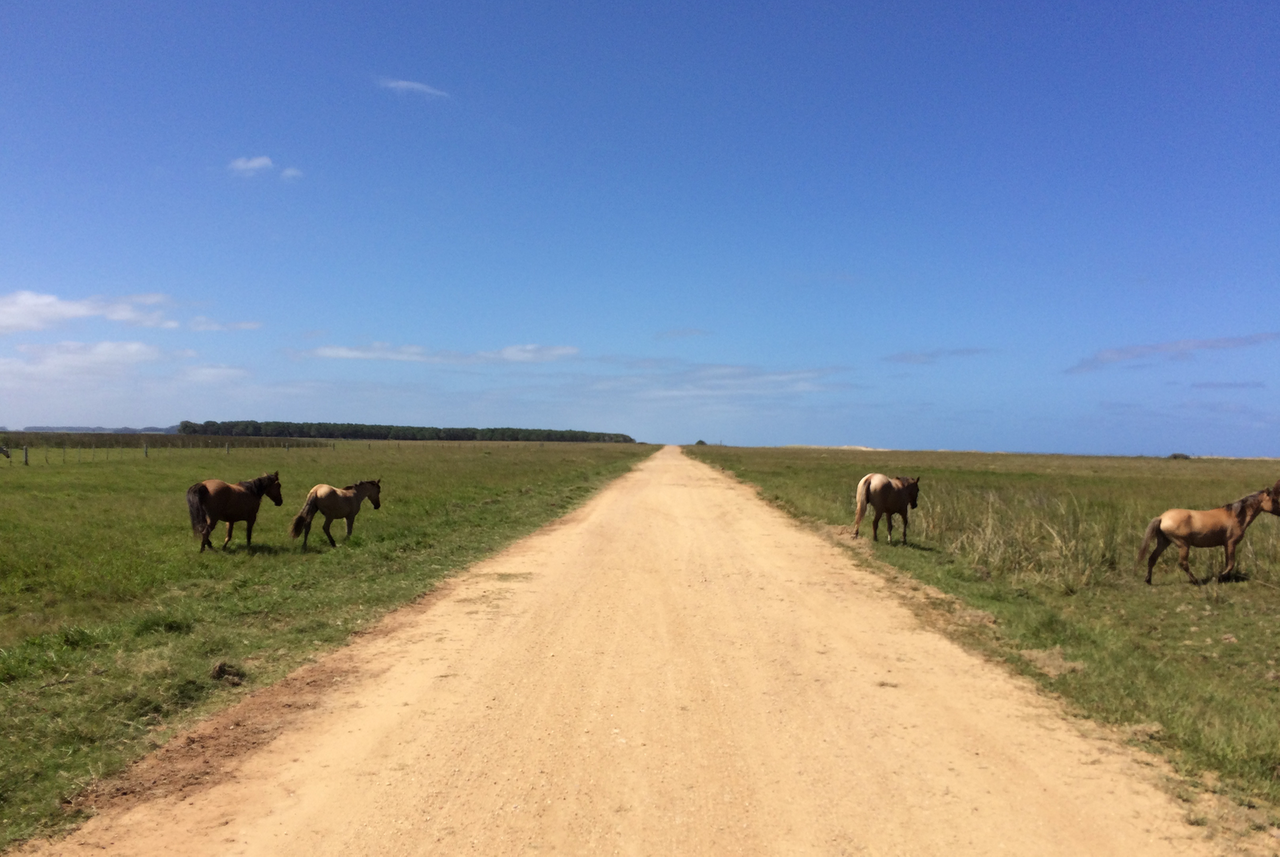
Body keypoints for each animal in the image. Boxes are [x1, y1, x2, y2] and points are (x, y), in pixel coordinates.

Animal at [1141, 480, 1280, 588]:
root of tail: (1162, 517)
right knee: (1183, 563)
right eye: (1274, 499)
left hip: (1164, 542)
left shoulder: (1226, 544)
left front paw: (1225, 578)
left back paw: (1148, 580)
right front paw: (1220, 577)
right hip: (1183, 544)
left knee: (1152, 558)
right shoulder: (1231, 543)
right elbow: (1231, 563)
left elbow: (1228, 562)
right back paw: (1195, 581)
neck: (1235, 515)